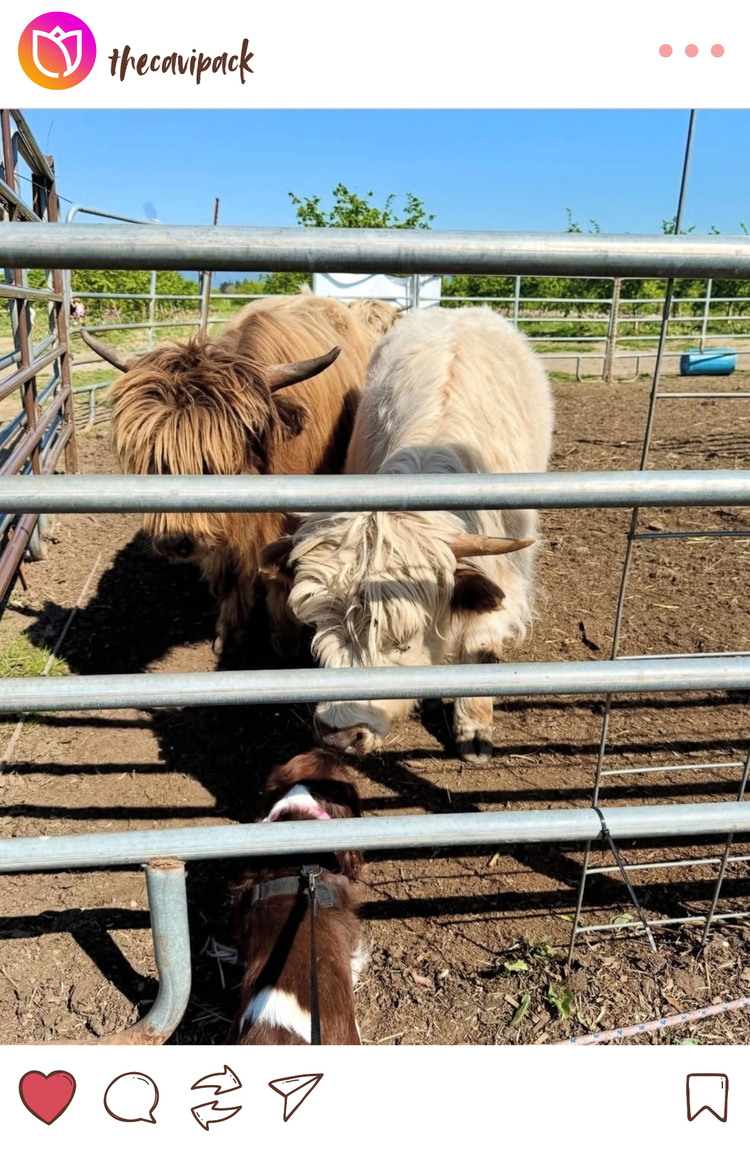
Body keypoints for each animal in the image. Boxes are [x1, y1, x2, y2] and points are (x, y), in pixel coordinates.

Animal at [81, 292, 399, 656]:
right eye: (154, 458)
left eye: (214, 464)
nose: (175, 542)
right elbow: (232, 574)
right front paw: (228, 635)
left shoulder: (288, 520)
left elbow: (280, 572)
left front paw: (285, 639)